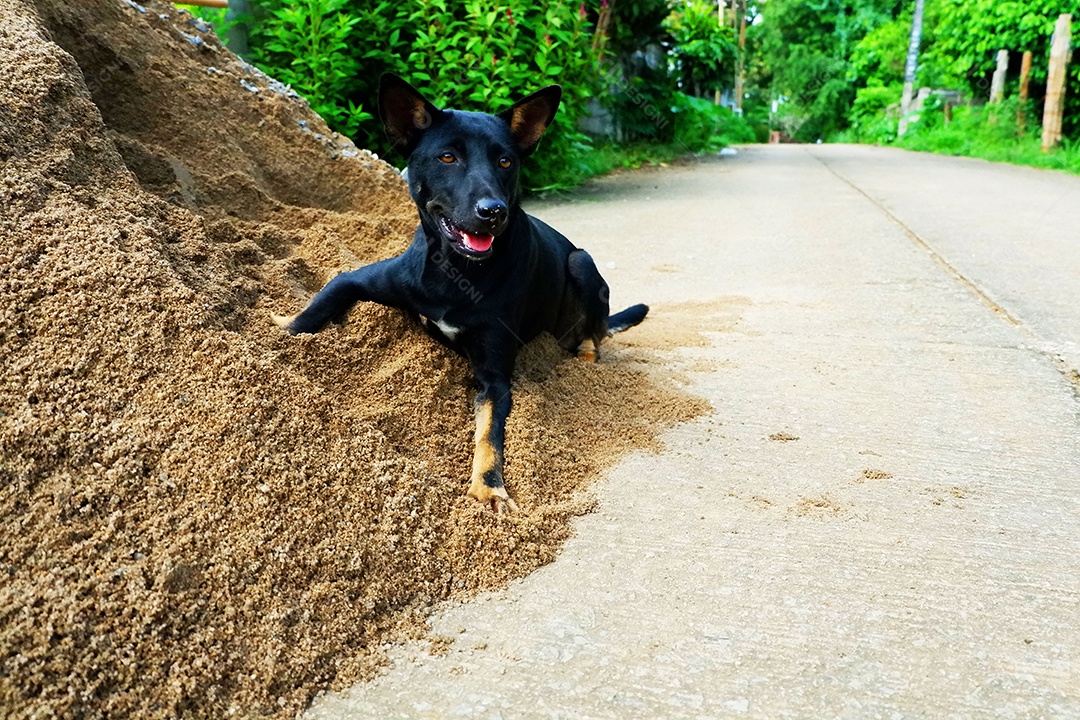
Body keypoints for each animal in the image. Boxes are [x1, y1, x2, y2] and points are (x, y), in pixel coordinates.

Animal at [276, 74, 648, 511]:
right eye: (448, 157)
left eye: (505, 162)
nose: (494, 211)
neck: (458, 271)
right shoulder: (360, 279)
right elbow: (323, 298)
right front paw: (279, 329)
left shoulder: (494, 377)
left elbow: (489, 434)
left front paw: (489, 486)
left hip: (582, 263)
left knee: (595, 331)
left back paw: (585, 357)